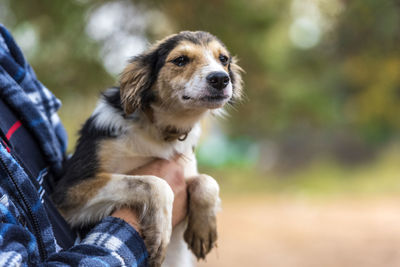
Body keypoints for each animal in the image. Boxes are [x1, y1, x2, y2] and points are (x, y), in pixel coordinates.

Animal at [51, 30, 242, 266]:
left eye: (223, 59)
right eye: (180, 60)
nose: (221, 78)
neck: (160, 132)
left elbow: (207, 180)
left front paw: (203, 229)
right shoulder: (68, 191)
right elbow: (155, 182)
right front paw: (159, 234)